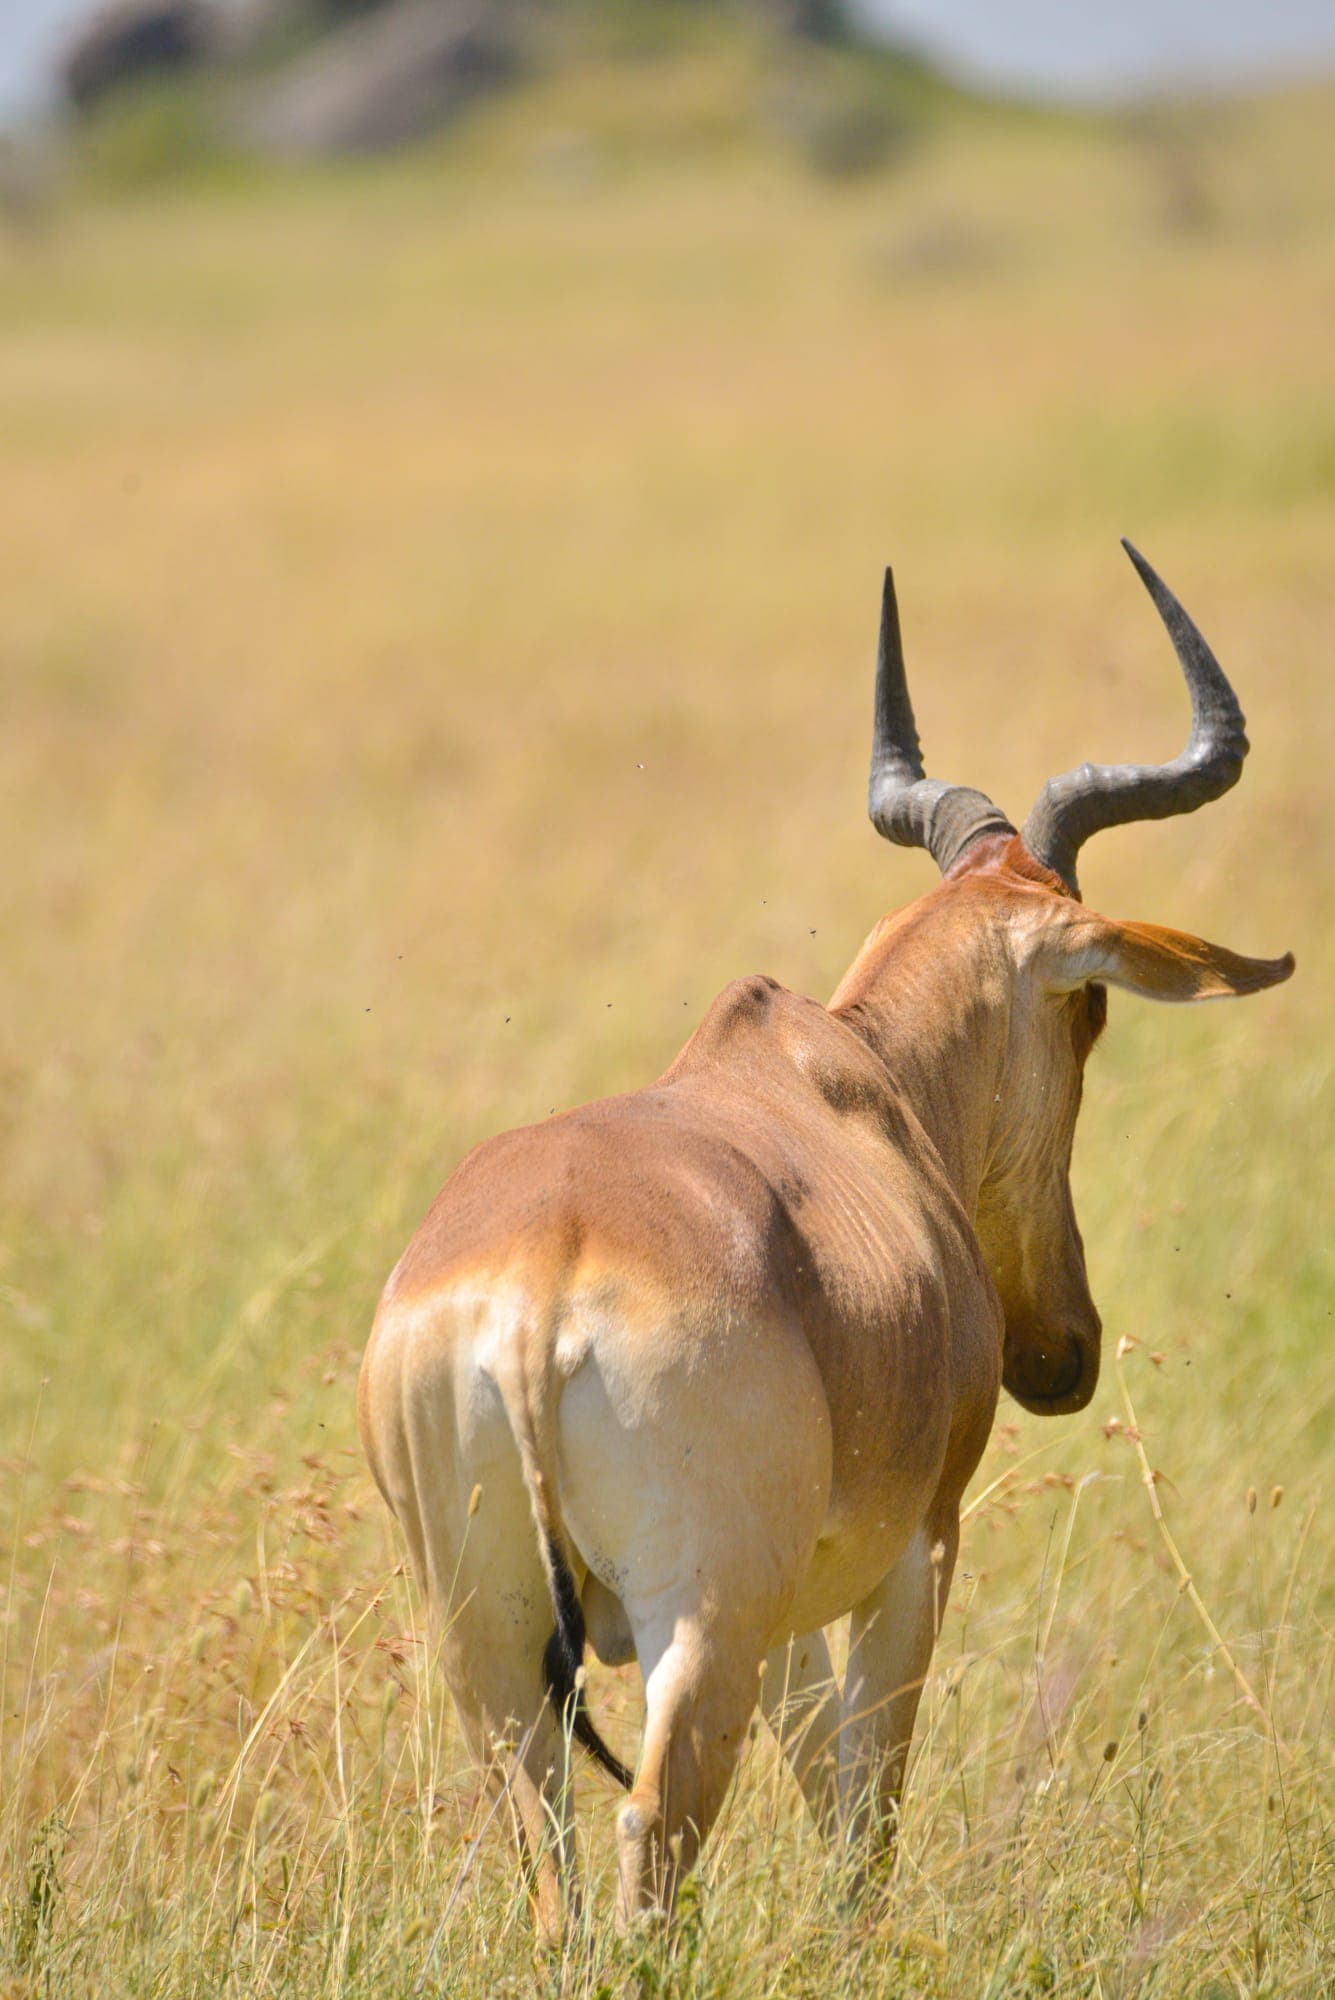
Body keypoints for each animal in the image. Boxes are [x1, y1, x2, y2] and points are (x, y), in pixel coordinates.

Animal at [358, 541, 1292, 1941]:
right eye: (1089, 1013)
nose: (1062, 1351)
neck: (847, 1078)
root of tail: (535, 1288)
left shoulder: (794, 1599)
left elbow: (818, 1772)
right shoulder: (915, 1550)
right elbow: (867, 1803)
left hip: (493, 1633)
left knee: (550, 1851)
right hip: (700, 1614)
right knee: (655, 1827)